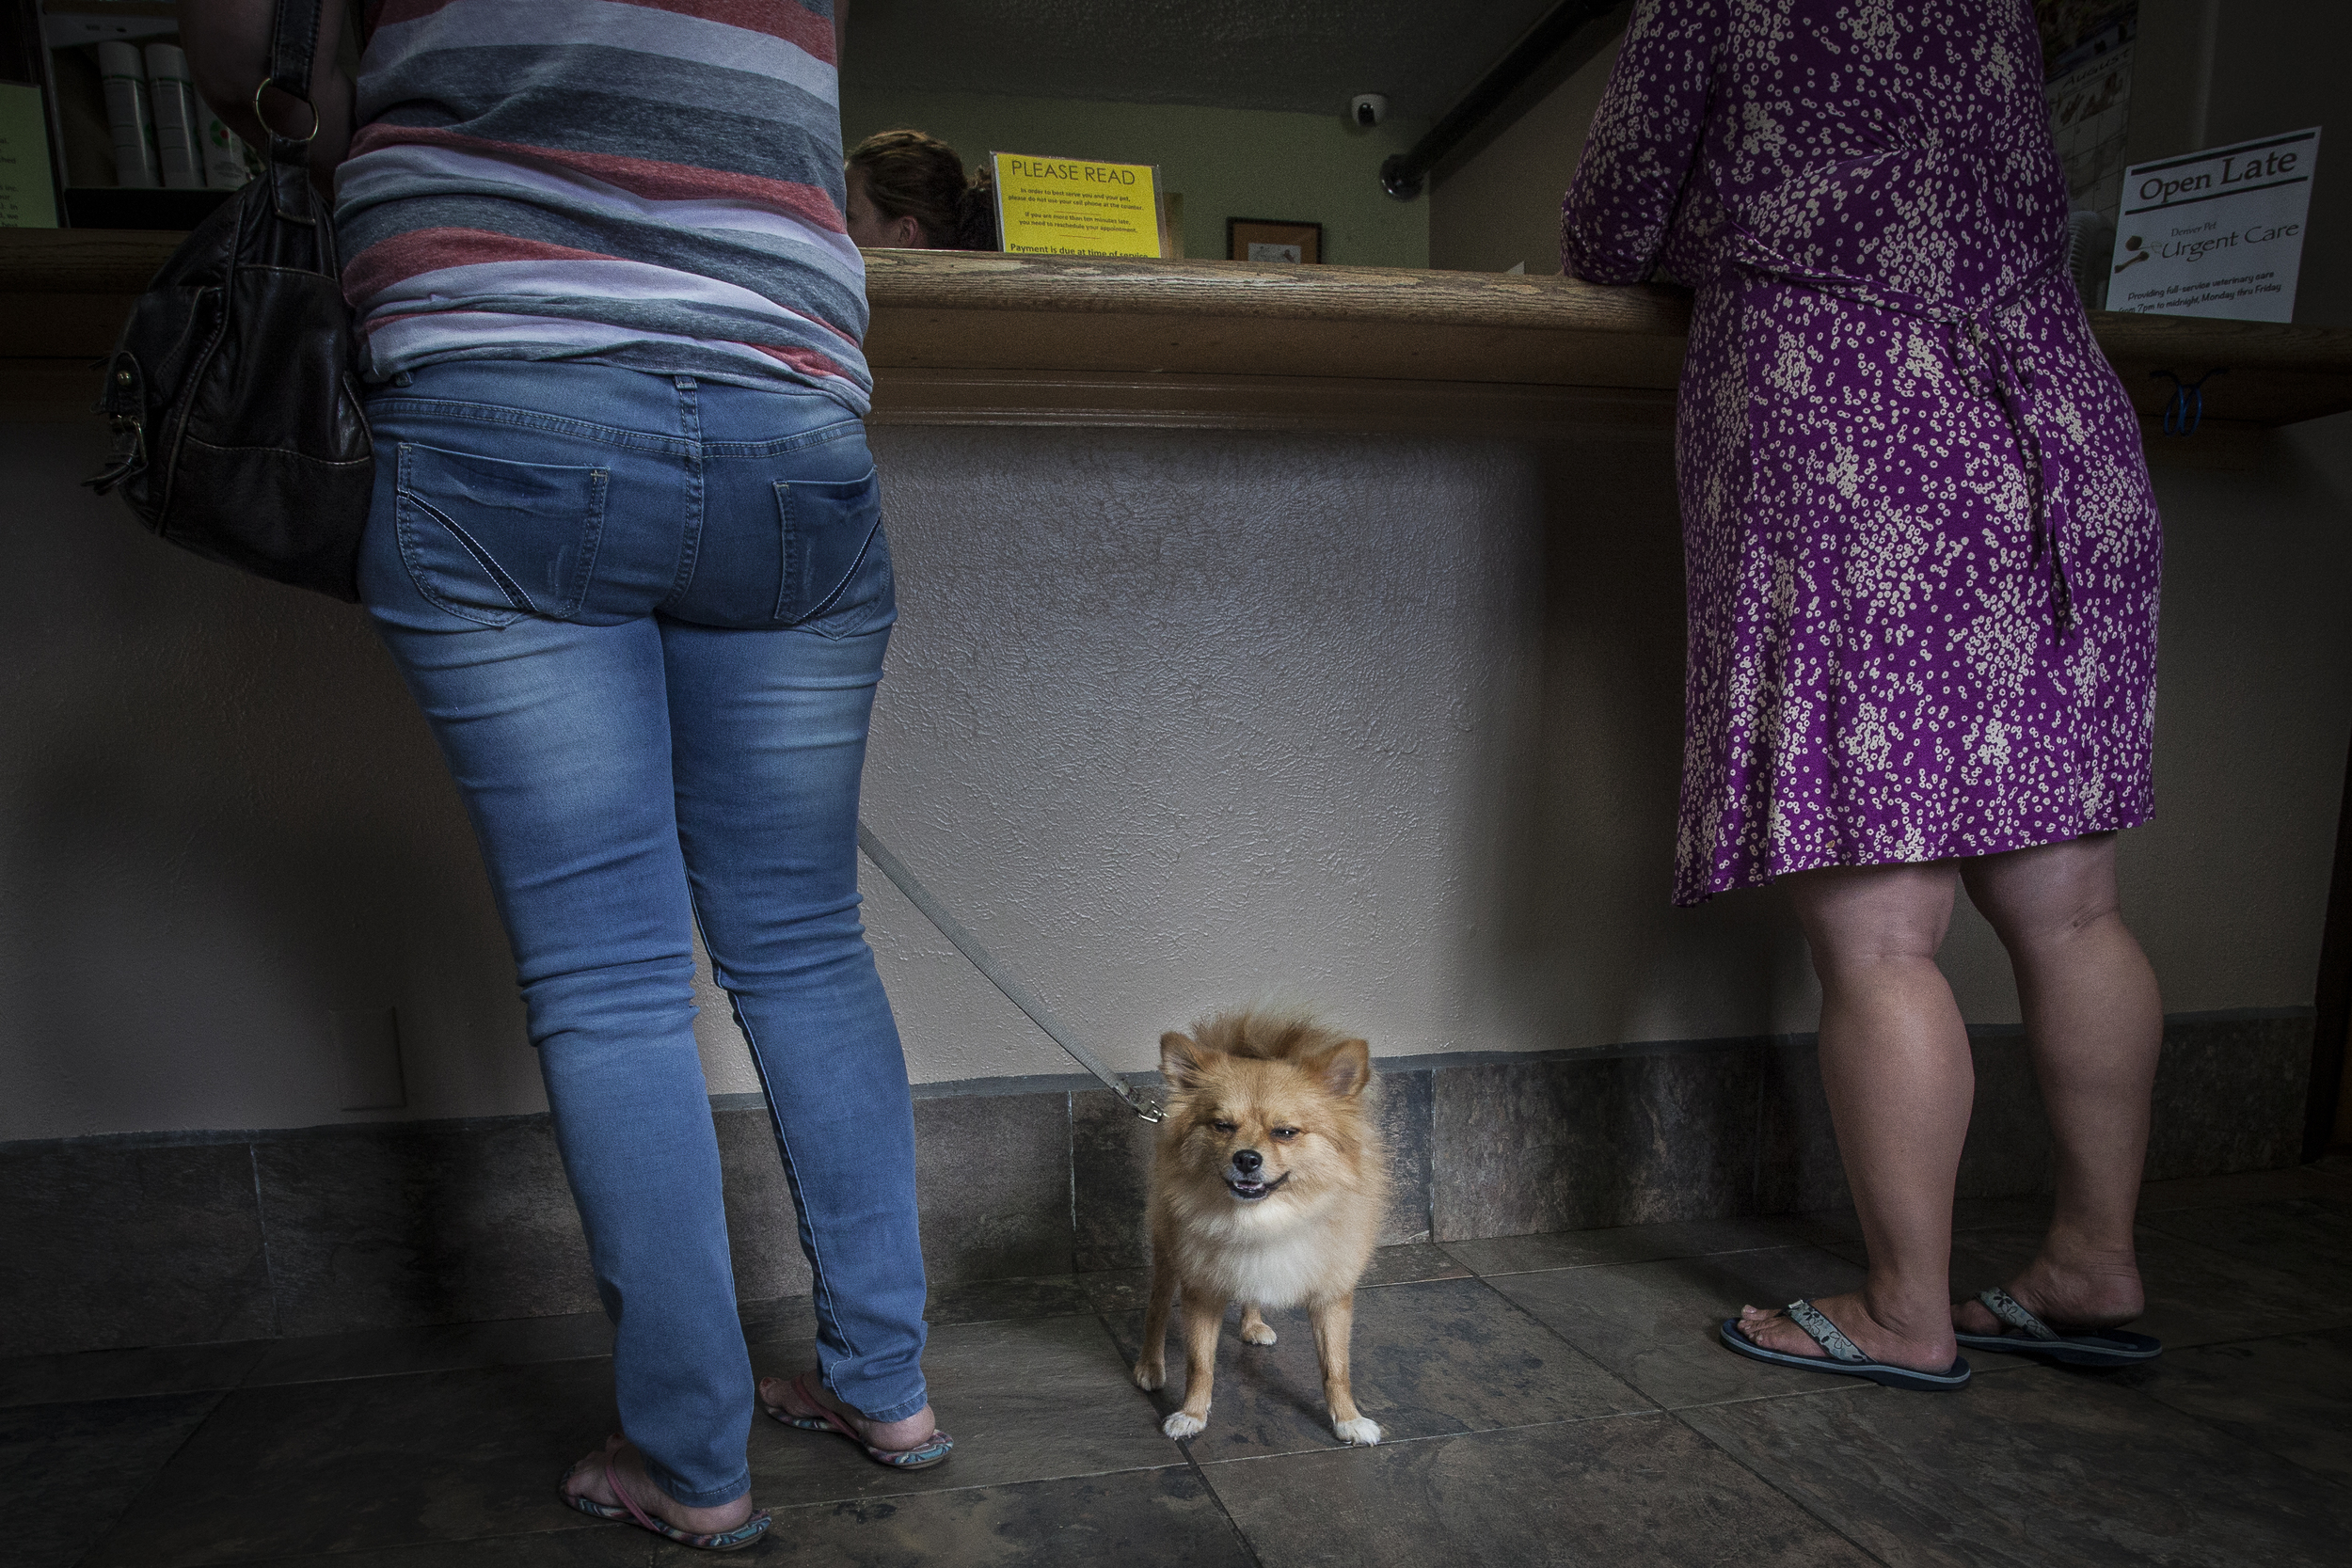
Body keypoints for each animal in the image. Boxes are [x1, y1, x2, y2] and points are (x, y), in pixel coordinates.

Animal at [1129, 1020, 1383, 1448]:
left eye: (1285, 1132)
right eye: (1222, 1126)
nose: (1246, 1157)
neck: (1263, 1220)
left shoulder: (1331, 1295)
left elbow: (1336, 1366)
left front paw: (1348, 1419)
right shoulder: (1201, 1290)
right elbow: (1200, 1363)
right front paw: (1192, 1415)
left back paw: (1252, 1325)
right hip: (1168, 1252)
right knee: (1157, 1307)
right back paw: (1150, 1365)